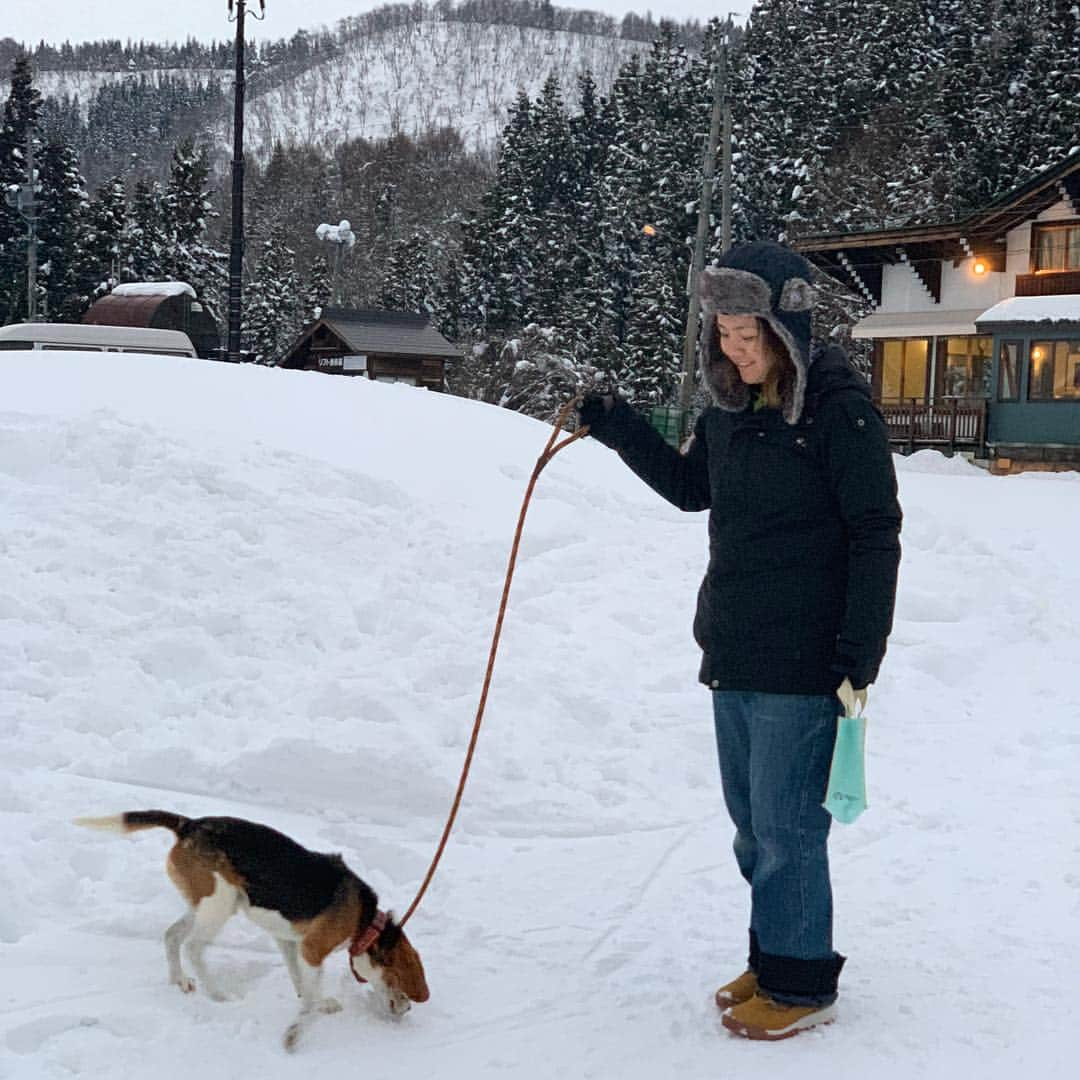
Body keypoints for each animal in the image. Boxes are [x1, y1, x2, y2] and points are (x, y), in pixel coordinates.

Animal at [76, 812, 427, 1045]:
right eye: (397, 979)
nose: (409, 1008)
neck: (365, 923)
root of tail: (189, 824)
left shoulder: (290, 941)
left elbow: (301, 981)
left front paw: (313, 1000)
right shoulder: (313, 950)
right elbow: (309, 995)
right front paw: (302, 1024)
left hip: (206, 905)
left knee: (172, 935)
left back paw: (181, 981)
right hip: (219, 904)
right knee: (193, 947)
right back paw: (218, 995)